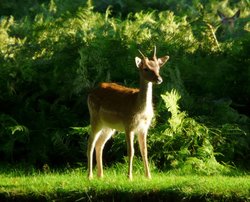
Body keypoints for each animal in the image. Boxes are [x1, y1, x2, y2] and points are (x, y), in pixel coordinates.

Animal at [86, 46, 170, 180]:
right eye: (146, 68)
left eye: (158, 67)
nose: (159, 79)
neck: (139, 110)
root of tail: (91, 92)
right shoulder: (128, 125)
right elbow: (131, 151)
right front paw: (129, 176)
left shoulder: (144, 128)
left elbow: (144, 151)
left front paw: (148, 176)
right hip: (95, 119)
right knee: (90, 144)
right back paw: (90, 176)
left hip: (108, 127)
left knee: (99, 144)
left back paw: (101, 175)